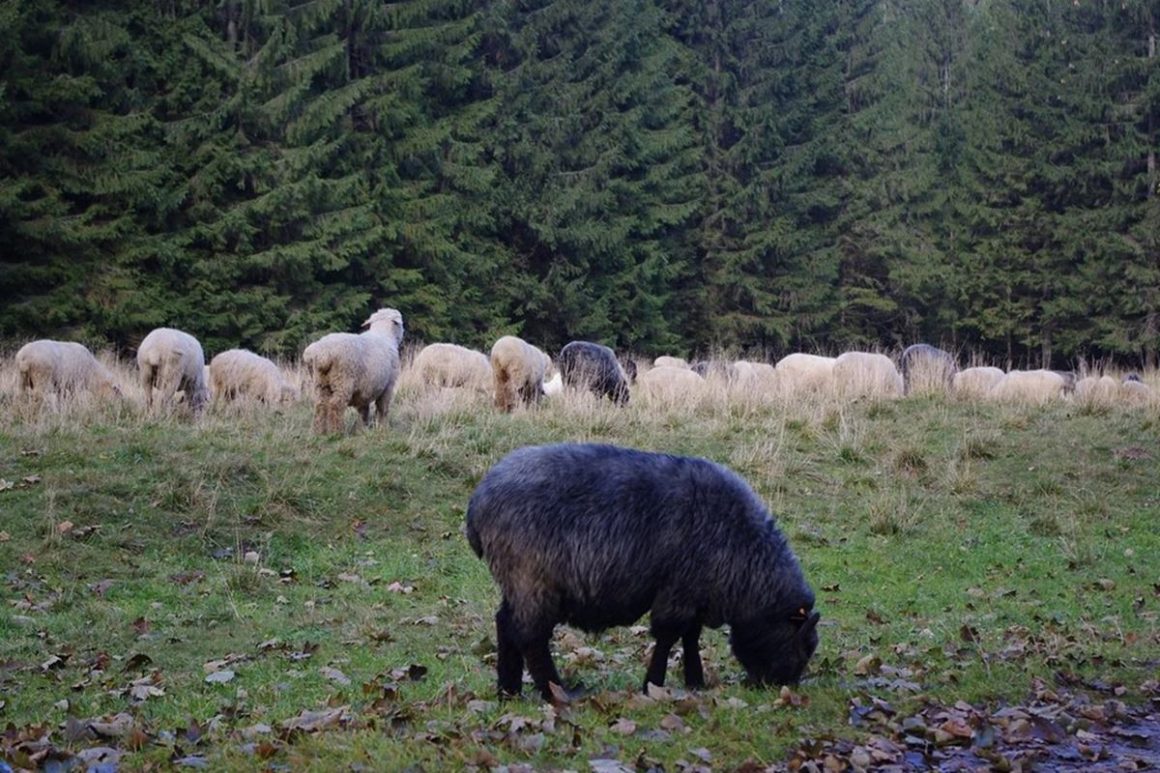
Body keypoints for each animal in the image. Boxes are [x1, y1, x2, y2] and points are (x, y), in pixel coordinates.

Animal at [466, 438, 821, 696]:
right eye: (803, 646)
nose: (783, 688)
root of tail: (479, 502)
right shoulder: (678, 592)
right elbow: (668, 636)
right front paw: (653, 684)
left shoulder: (694, 594)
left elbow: (690, 638)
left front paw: (695, 682)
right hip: (532, 578)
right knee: (530, 636)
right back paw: (555, 691)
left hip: (517, 581)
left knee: (505, 624)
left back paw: (508, 690)